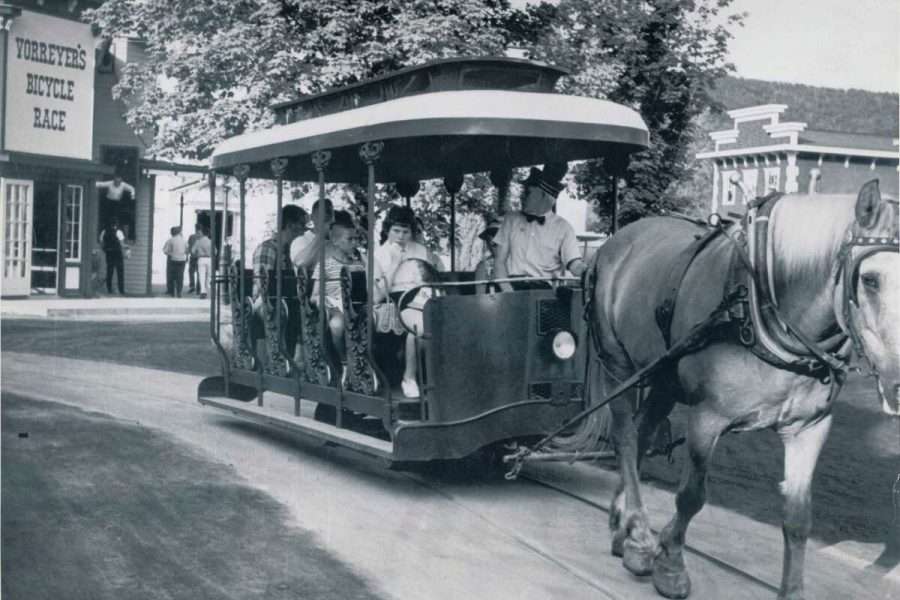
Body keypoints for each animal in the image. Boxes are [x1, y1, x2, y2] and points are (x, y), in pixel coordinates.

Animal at [588, 179, 896, 600]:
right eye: (870, 279)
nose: (897, 383)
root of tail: (615, 242)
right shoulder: (707, 418)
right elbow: (691, 496)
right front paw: (671, 565)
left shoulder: (809, 429)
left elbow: (799, 516)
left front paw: (792, 591)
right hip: (618, 367)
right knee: (625, 437)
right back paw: (638, 531)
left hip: (664, 379)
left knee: (642, 434)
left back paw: (627, 534)